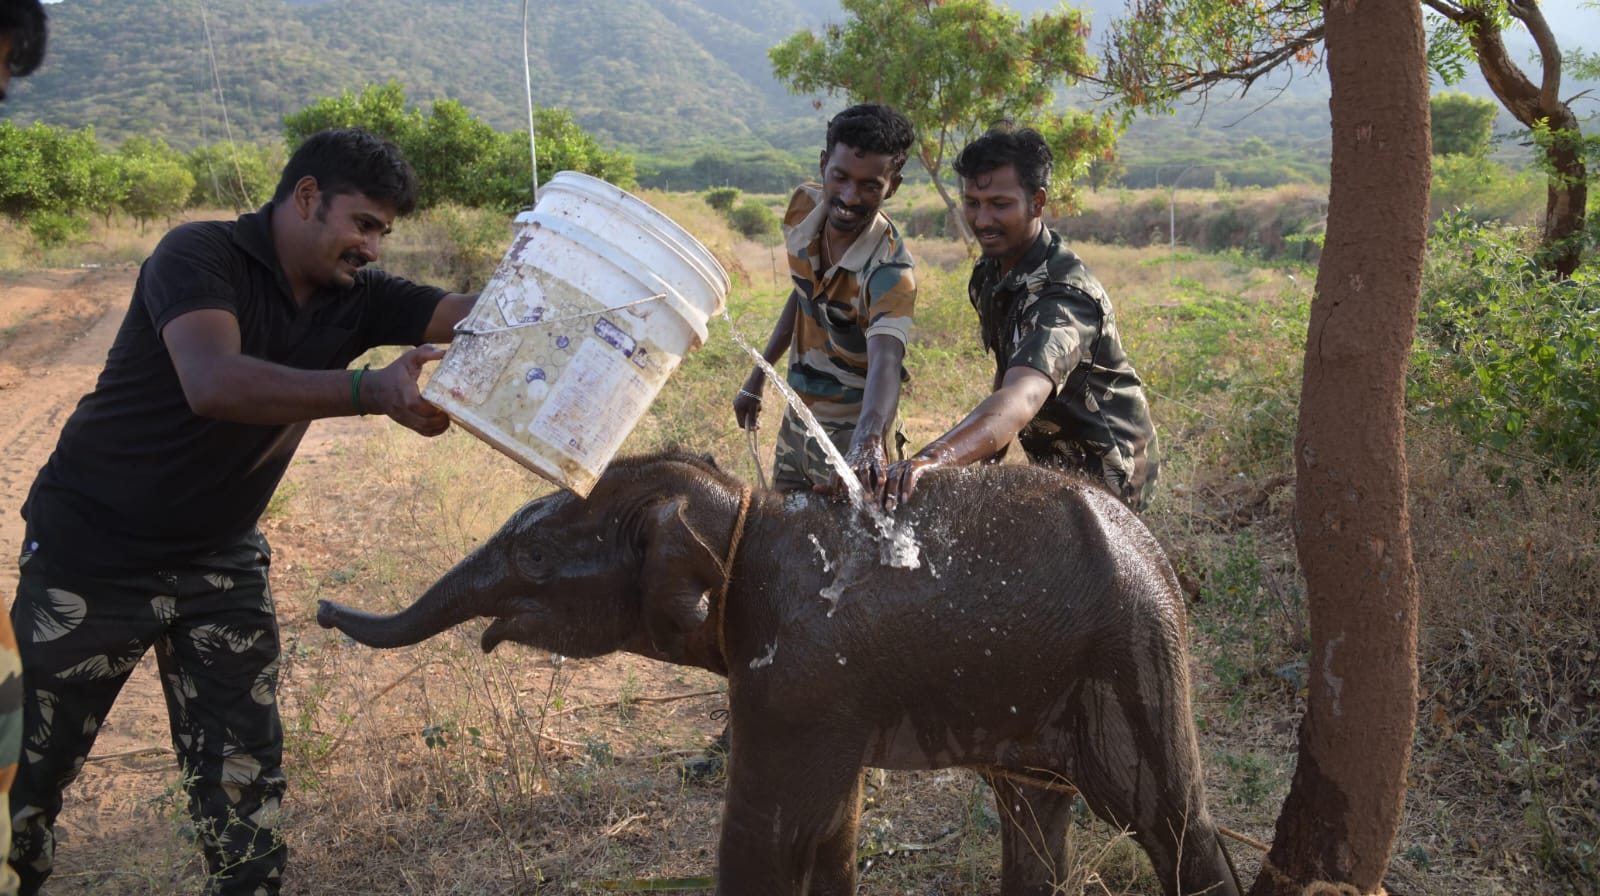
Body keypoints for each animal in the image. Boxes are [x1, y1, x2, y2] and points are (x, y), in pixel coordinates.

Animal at [318, 454, 1241, 896]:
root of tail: (1152, 545)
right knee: (1032, 811)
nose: (324, 609)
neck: (741, 513)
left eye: (535, 556)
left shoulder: (797, 679)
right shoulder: (823, 692)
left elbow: (769, 840)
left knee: (1168, 820)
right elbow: (830, 832)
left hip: (1133, 656)